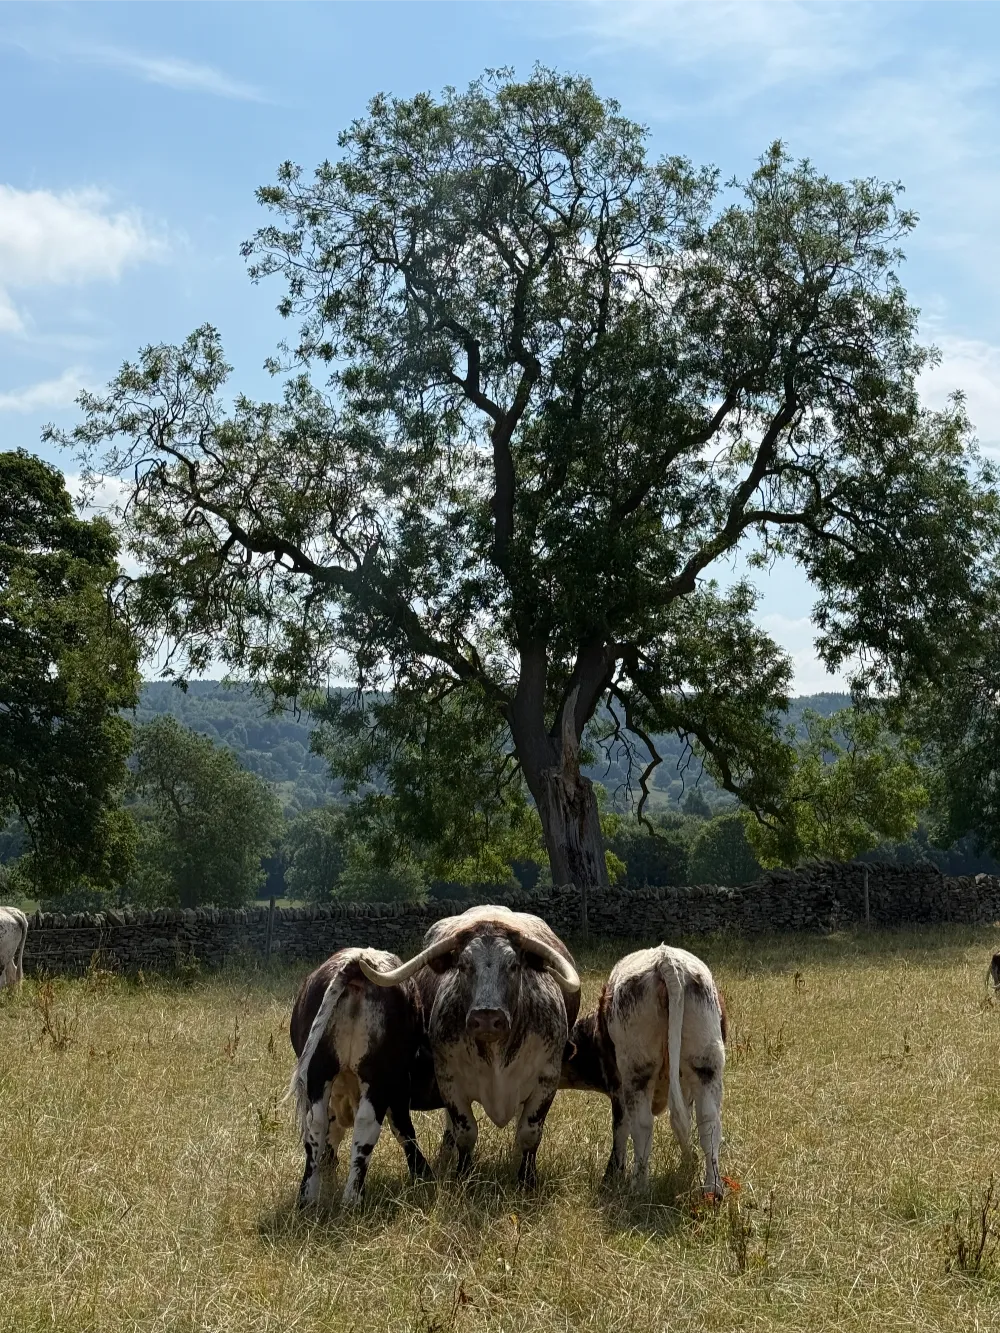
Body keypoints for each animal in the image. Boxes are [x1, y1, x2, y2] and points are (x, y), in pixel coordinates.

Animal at [288, 947, 441, 1207]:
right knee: (367, 1124)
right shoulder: (398, 1088)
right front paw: (422, 1173)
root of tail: (358, 964)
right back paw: (353, 1197)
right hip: (379, 1077)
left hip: (319, 1071)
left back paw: (309, 1197)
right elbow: (403, 1129)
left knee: (315, 1122)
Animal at [361, 905, 581, 1187]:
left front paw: (527, 1178)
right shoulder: (449, 1080)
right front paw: (463, 1175)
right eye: (463, 966)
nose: (486, 1017)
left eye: (513, 965)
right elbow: (465, 1131)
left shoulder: (547, 1079)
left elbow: (529, 1132)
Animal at [561, 945, 727, 1197]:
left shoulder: (617, 1087)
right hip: (706, 1063)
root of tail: (666, 961)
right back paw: (713, 1188)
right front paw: (688, 1161)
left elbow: (621, 1128)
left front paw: (613, 1175)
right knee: (708, 1121)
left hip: (637, 1070)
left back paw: (639, 1187)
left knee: (642, 1124)